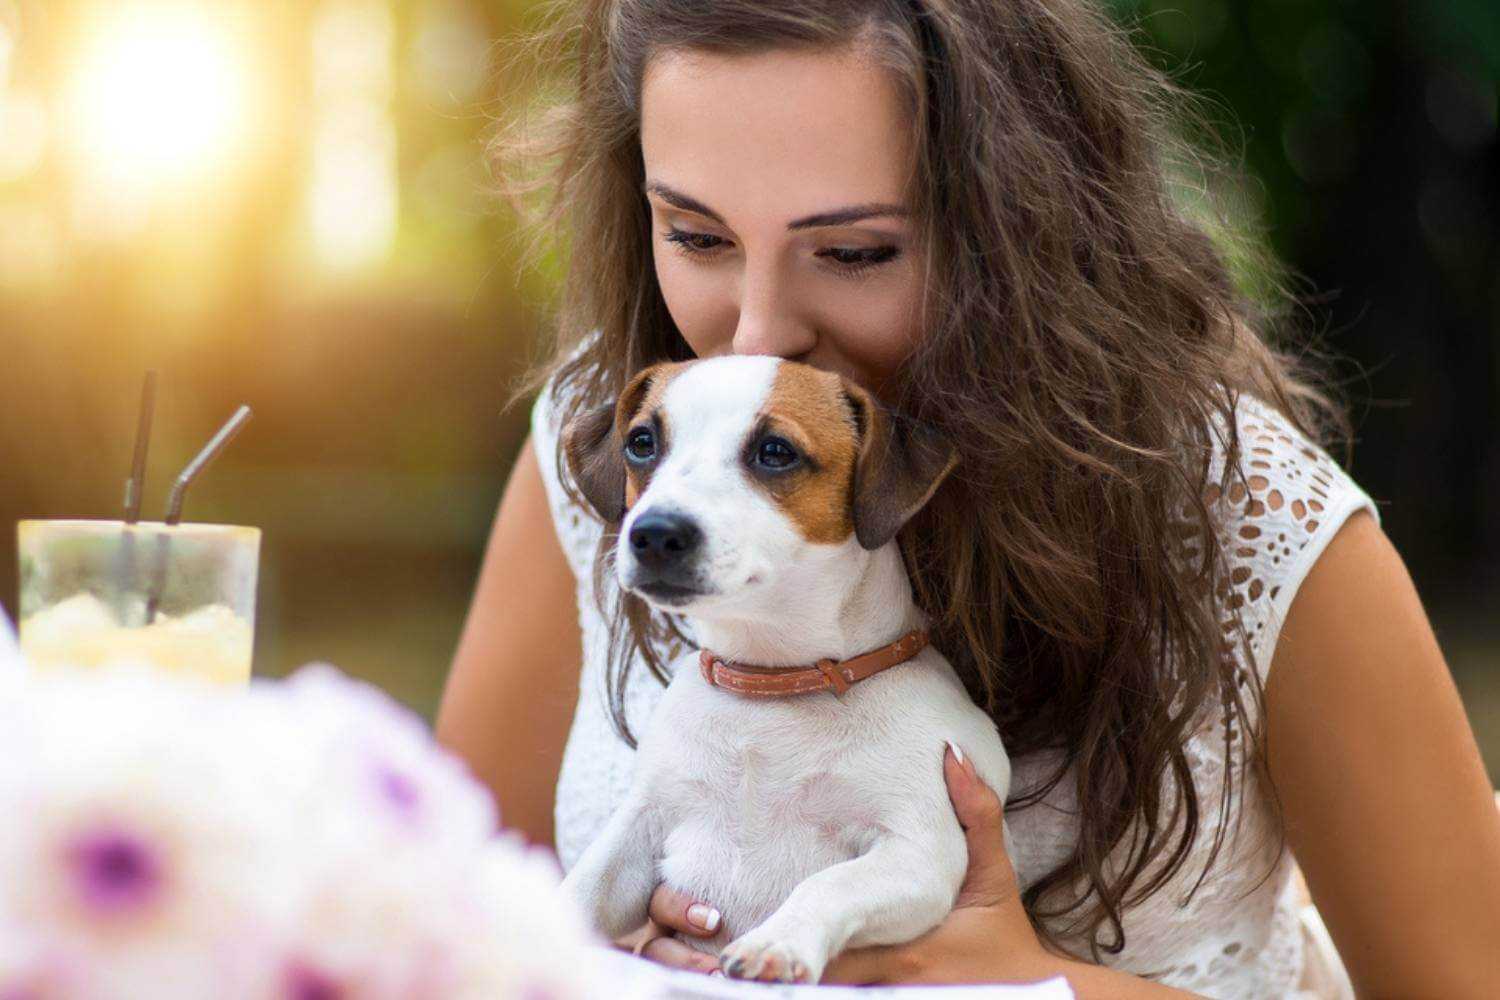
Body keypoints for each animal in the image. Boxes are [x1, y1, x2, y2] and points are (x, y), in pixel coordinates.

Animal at [558, 355, 1014, 983]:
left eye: (775, 451)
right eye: (641, 443)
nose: (654, 533)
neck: (772, 686)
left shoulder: (920, 848)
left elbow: (830, 884)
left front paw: (779, 940)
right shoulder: (641, 825)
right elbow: (583, 888)